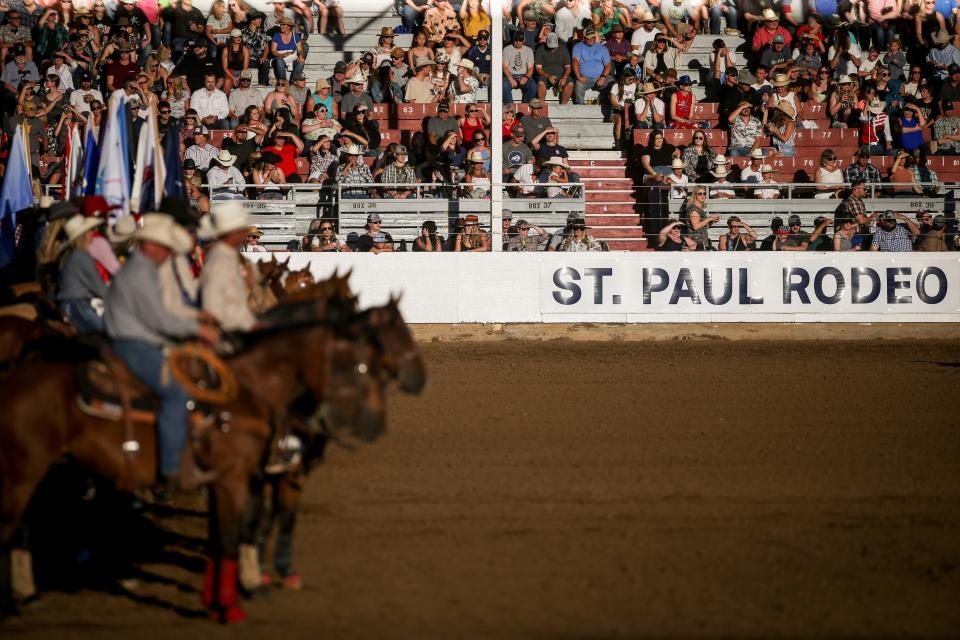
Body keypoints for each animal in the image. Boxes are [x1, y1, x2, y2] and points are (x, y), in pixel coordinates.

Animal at [0, 300, 390, 624]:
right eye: (356, 364)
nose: (370, 422)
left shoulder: (242, 478)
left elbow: (235, 532)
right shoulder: (244, 478)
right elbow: (240, 531)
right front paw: (238, 598)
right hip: (24, 472)